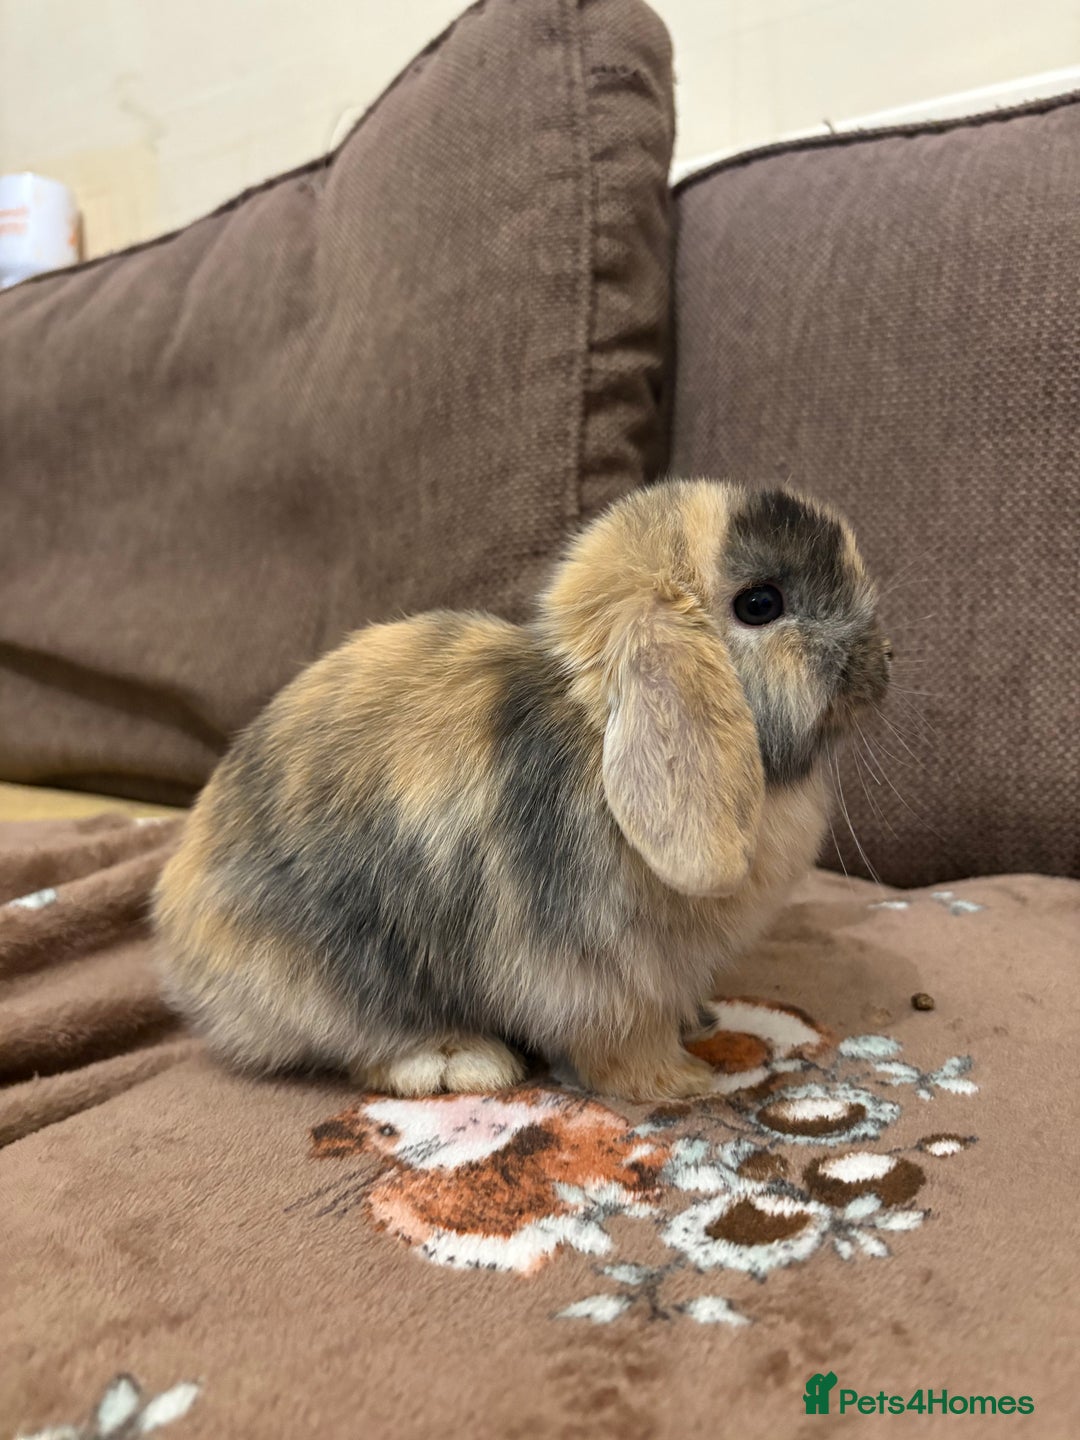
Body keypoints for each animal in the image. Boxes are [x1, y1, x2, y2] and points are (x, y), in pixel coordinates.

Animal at [153, 479, 890, 1102]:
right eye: (761, 604)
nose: (885, 660)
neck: (596, 724)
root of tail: (179, 942)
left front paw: (700, 1026)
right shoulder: (600, 976)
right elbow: (621, 1040)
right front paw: (682, 1082)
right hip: (336, 976)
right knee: (357, 1044)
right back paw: (461, 1062)